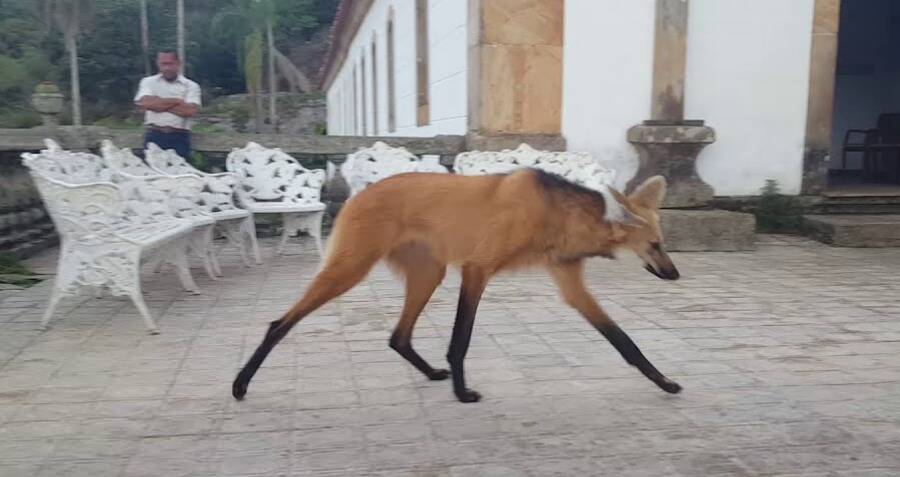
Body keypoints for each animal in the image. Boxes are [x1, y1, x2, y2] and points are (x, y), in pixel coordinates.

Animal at [234, 170, 684, 402]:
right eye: (655, 245)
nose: (674, 274)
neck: (557, 214)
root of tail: (360, 193)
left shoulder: (568, 280)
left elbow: (623, 340)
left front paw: (665, 382)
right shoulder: (477, 268)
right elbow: (461, 338)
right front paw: (463, 392)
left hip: (428, 273)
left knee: (398, 336)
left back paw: (431, 372)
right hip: (351, 269)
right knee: (279, 323)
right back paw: (240, 384)